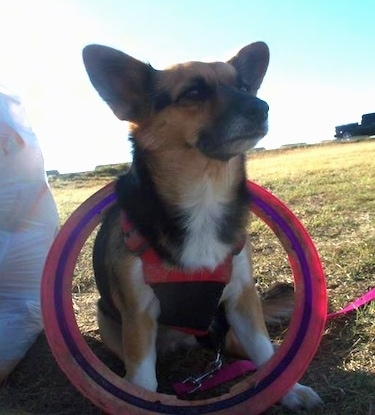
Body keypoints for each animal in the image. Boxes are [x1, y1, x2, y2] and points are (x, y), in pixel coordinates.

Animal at [83, 40, 324, 412]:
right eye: (193, 92)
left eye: (243, 87)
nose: (261, 107)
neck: (203, 195)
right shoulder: (138, 316)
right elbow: (143, 380)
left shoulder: (242, 297)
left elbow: (266, 353)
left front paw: (290, 388)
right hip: (108, 321)